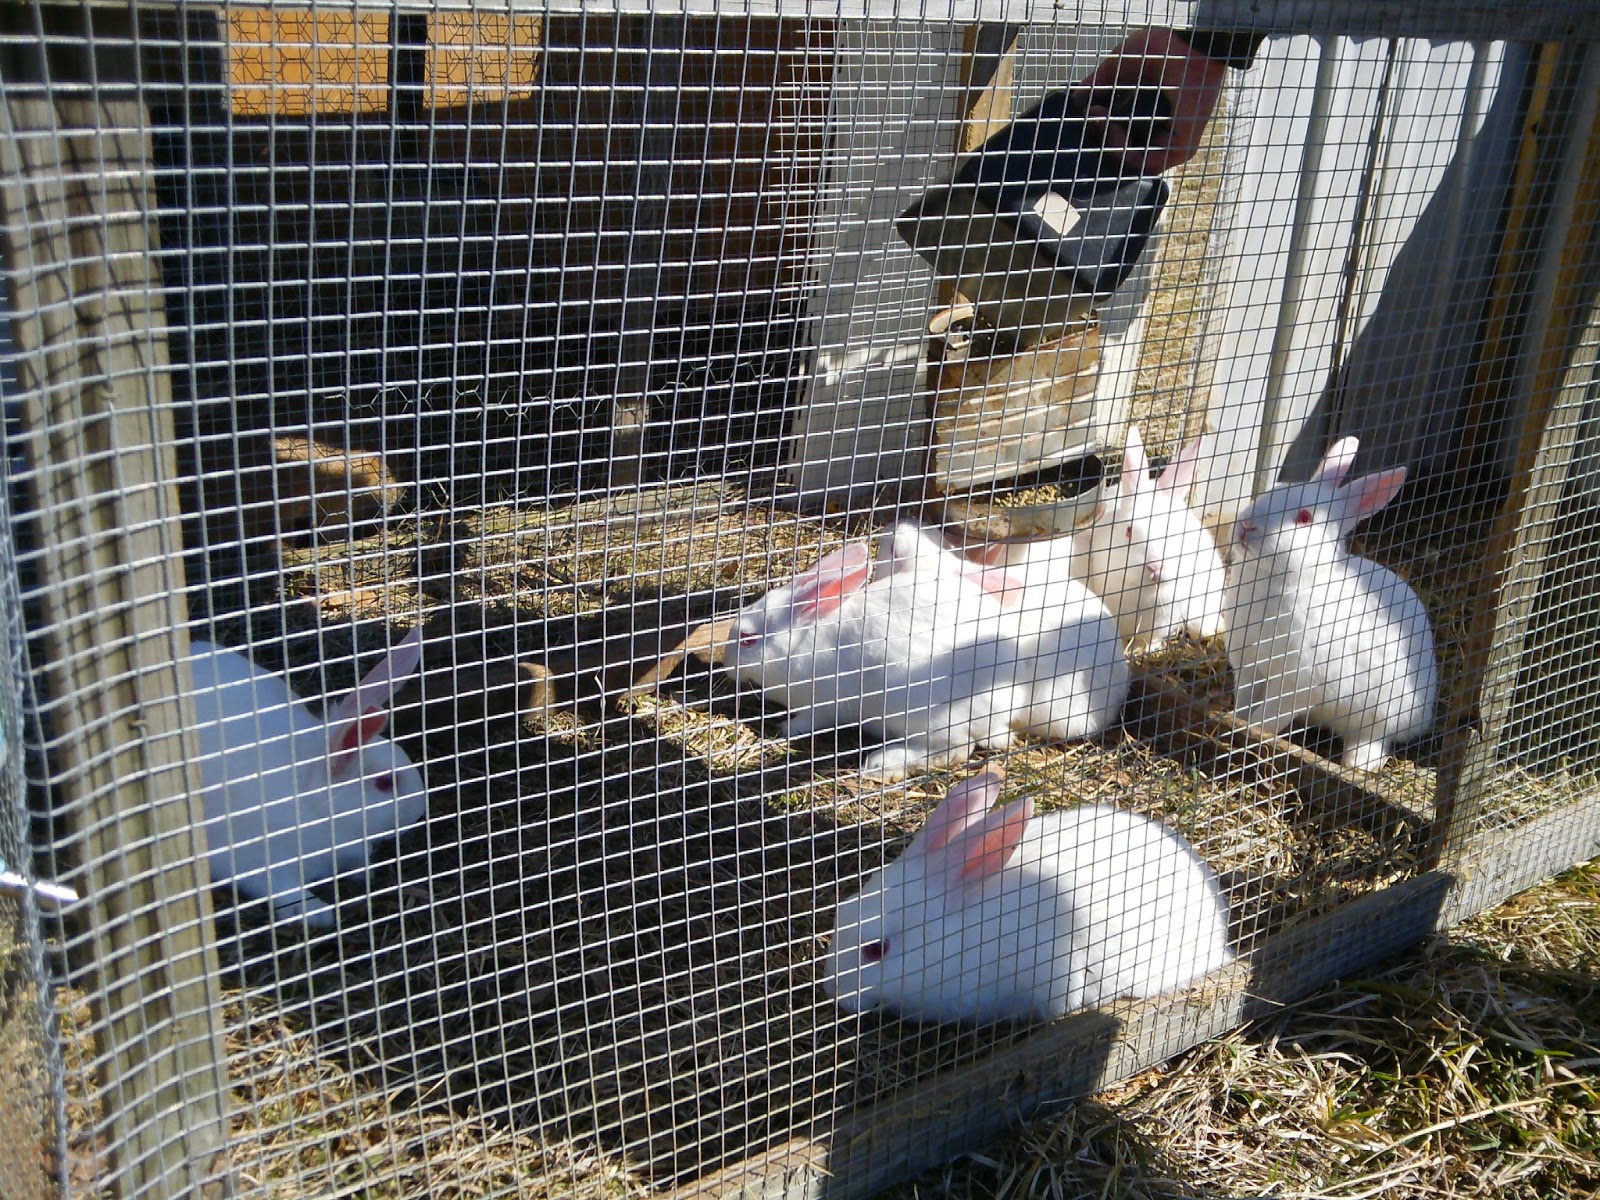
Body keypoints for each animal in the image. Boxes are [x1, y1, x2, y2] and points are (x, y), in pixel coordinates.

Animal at [188, 629, 428, 928]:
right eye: (385, 783)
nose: (420, 810)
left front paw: (364, 874)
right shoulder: (258, 862)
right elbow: (284, 890)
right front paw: (318, 913)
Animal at [1223, 436, 1438, 773]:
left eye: (1304, 518)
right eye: (1275, 488)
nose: (1246, 526)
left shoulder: (1298, 683)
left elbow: (1270, 716)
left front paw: (1253, 732)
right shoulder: (1248, 668)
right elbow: (1246, 701)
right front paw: (1234, 719)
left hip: (1384, 709)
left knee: (1376, 737)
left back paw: (1359, 761)